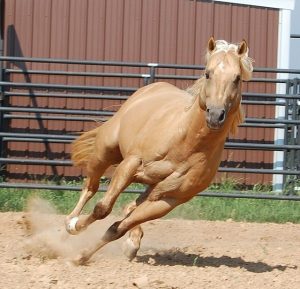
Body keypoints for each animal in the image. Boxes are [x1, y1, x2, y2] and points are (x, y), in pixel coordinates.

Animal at [65, 37, 253, 264]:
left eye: (237, 78)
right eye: (208, 73)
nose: (215, 115)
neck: (186, 143)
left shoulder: (168, 200)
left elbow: (117, 228)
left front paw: (82, 256)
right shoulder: (130, 164)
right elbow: (103, 208)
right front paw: (76, 228)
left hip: (151, 187)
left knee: (130, 207)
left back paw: (131, 242)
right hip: (105, 150)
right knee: (90, 188)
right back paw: (70, 222)